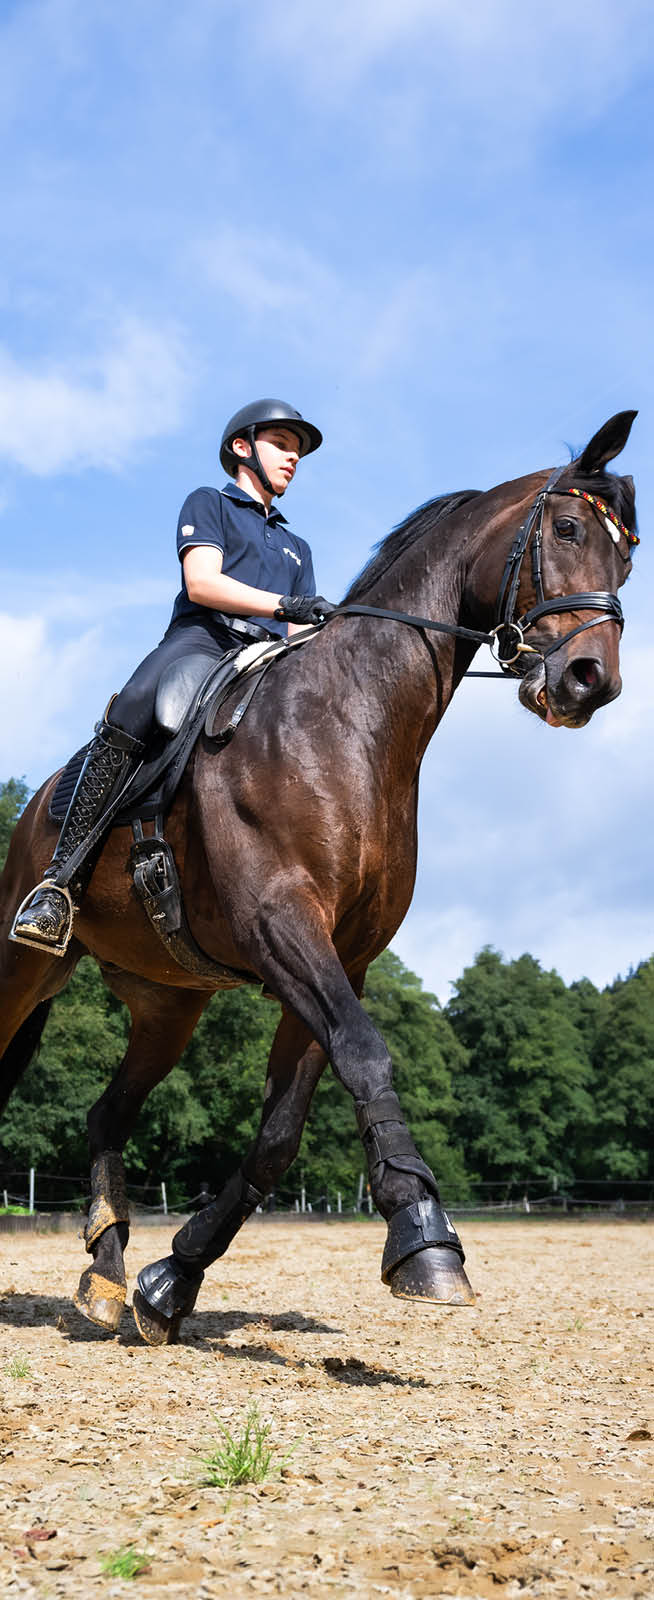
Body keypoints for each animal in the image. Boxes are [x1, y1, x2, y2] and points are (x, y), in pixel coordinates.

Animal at [0, 410, 638, 1344]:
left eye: (627, 558)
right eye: (565, 530)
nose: (592, 682)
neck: (351, 722)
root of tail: (43, 797)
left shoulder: (340, 956)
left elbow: (281, 1132)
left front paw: (170, 1283)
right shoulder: (283, 924)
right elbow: (366, 1056)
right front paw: (425, 1239)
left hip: (168, 1004)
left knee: (107, 1113)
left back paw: (109, 1274)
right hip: (25, 958)